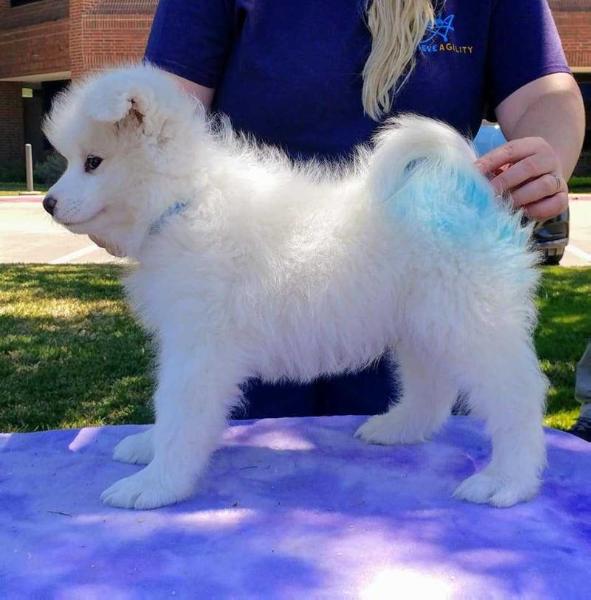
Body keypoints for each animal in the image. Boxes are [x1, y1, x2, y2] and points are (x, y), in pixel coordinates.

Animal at [44, 64, 548, 510]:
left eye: (93, 162)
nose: (47, 203)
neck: (185, 199)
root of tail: (465, 189)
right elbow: (171, 411)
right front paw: (147, 448)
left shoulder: (201, 346)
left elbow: (179, 412)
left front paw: (154, 484)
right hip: (423, 326)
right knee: (433, 390)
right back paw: (398, 429)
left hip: (472, 324)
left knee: (516, 398)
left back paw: (507, 480)